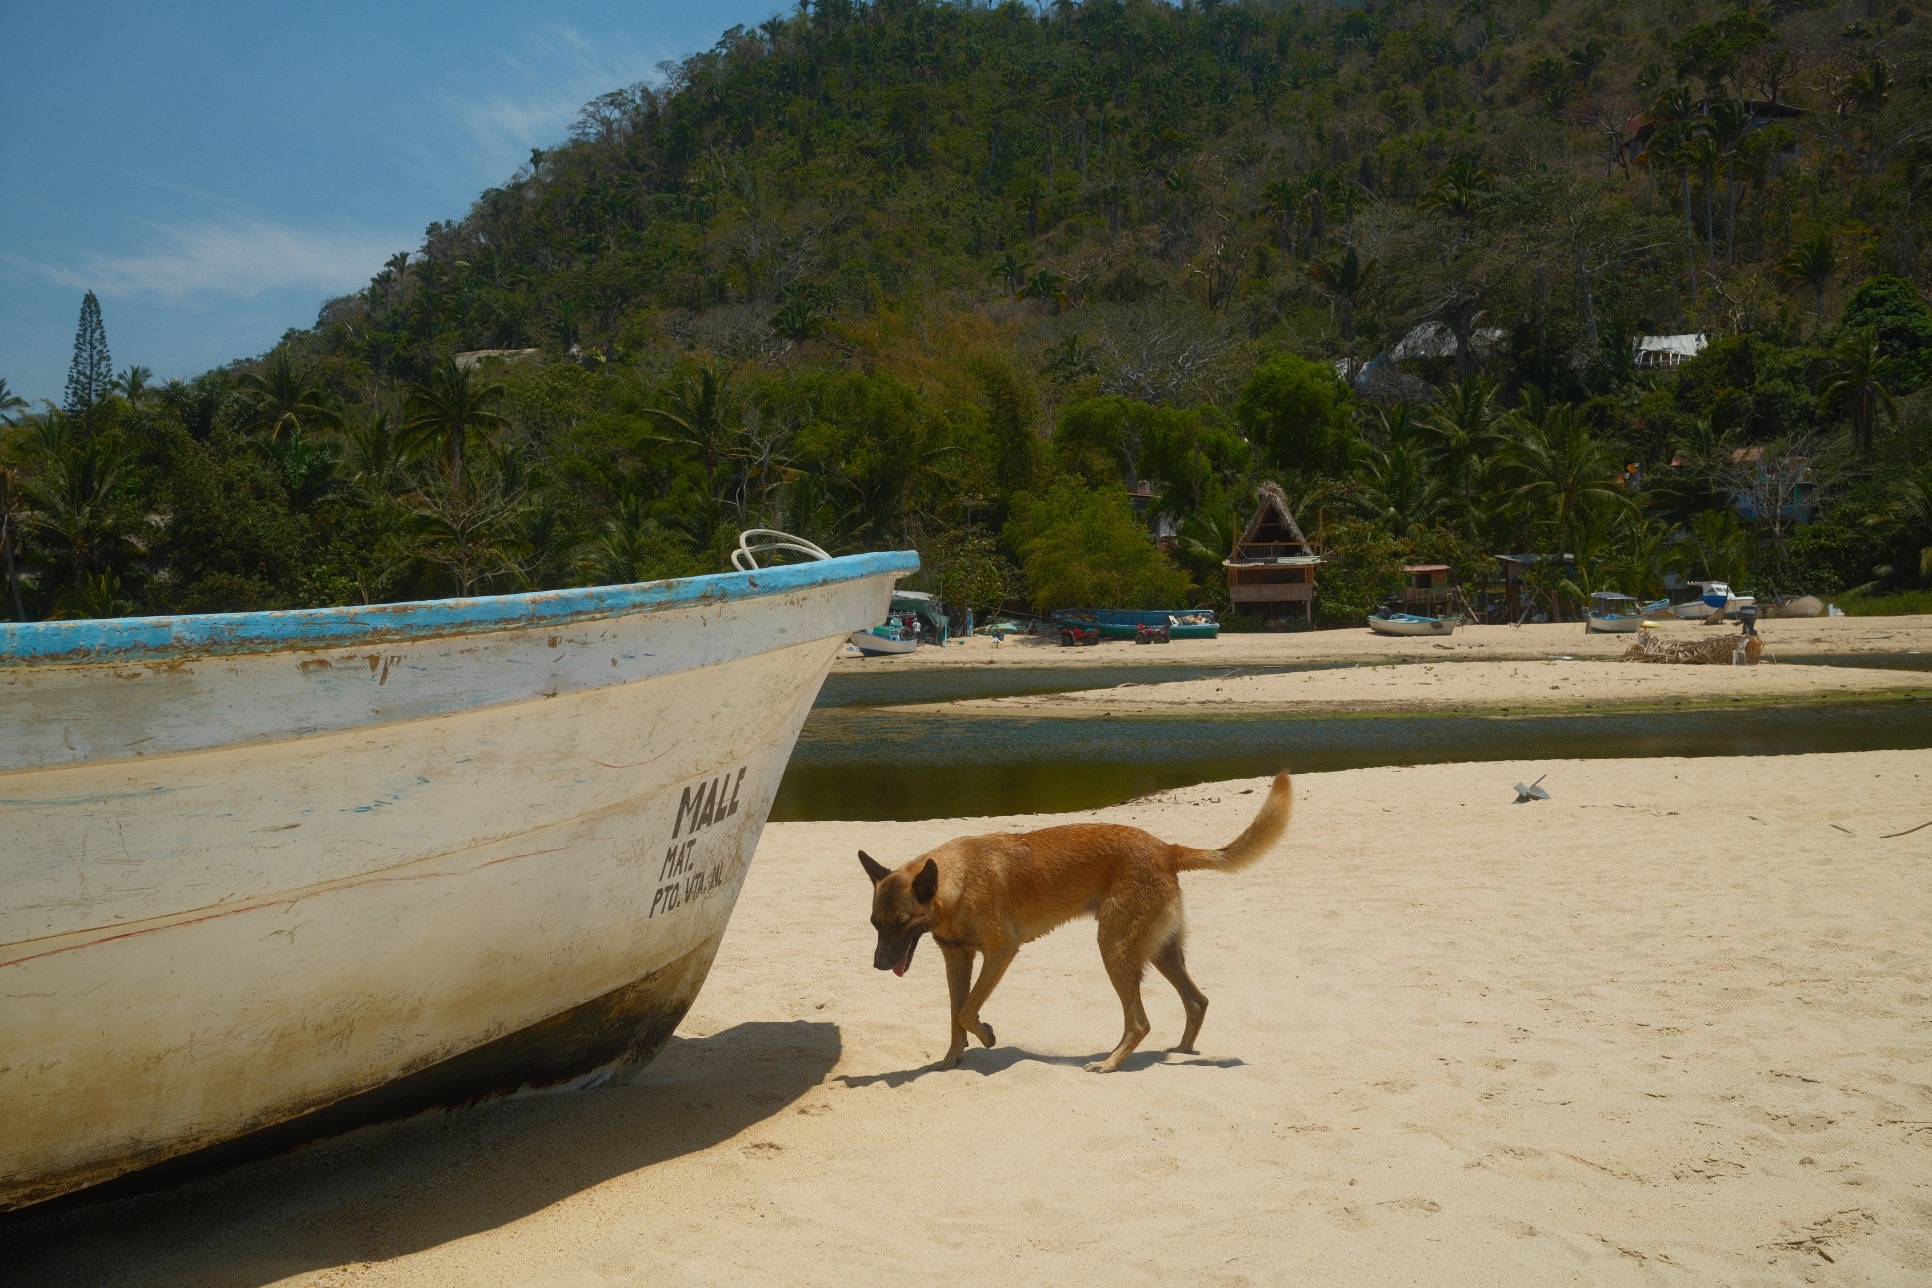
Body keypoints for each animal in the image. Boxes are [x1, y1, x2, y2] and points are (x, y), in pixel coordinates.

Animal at [865, 772, 1290, 1073]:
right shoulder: (958, 958)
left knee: (1139, 1022)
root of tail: (1166, 849)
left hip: (1114, 949)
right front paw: (952, 1057)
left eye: (901, 922)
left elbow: (968, 1010)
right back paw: (1182, 1050)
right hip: (1158, 952)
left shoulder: (1001, 953)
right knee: (1197, 1001)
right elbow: (957, 1013)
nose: (879, 965)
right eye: (874, 923)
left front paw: (985, 1036)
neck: (958, 880)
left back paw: (1110, 1063)